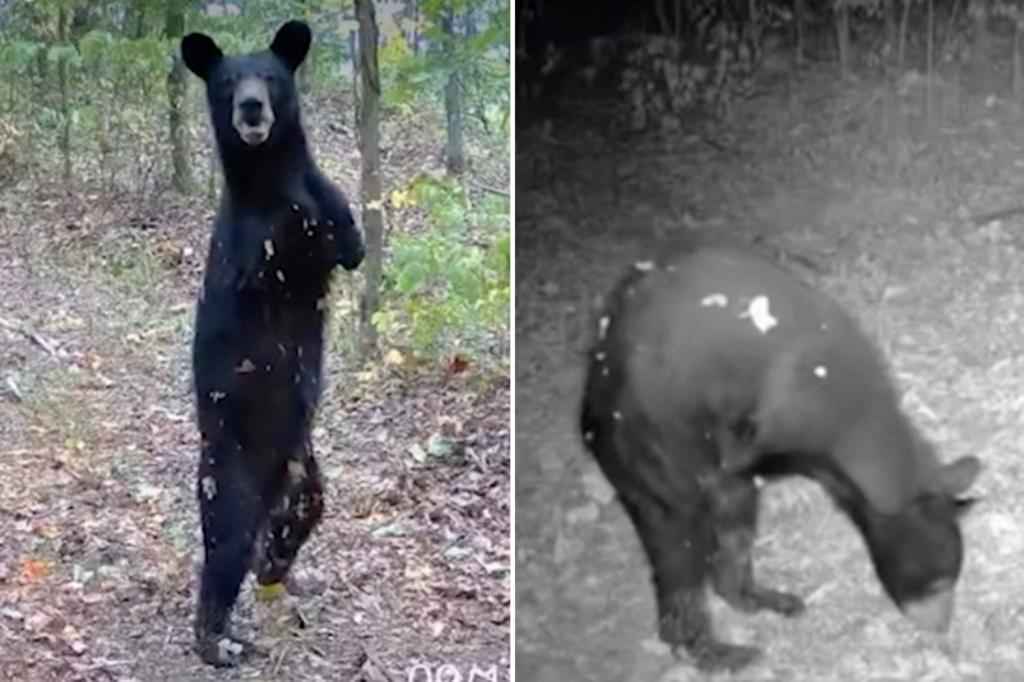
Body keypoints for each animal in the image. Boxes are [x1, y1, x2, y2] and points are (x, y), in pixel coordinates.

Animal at [181, 19, 364, 663]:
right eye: (228, 81)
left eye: (272, 76)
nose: (252, 107)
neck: (269, 175)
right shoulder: (249, 245)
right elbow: (272, 252)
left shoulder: (331, 207)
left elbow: (347, 238)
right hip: (230, 470)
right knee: (225, 547)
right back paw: (220, 642)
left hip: (305, 472)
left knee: (296, 518)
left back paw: (274, 568)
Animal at [581, 248, 978, 667]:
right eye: (936, 580)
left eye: (953, 576)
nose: (941, 629)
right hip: (653, 454)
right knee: (680, 544)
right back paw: (716, 651)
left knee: (732, 529)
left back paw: (763, 598)